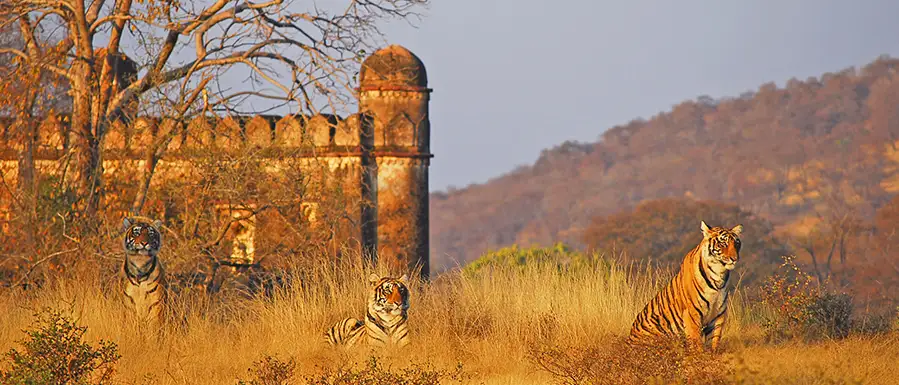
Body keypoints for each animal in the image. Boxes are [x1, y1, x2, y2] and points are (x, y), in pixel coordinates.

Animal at [624, 219, 744, 352]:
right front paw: (699, 356)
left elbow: (714, 340)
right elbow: (696, 341)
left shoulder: (718, 314)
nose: (734, 258)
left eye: (737, 244)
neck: (719, 274)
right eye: (723, 243)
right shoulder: (692, 312)